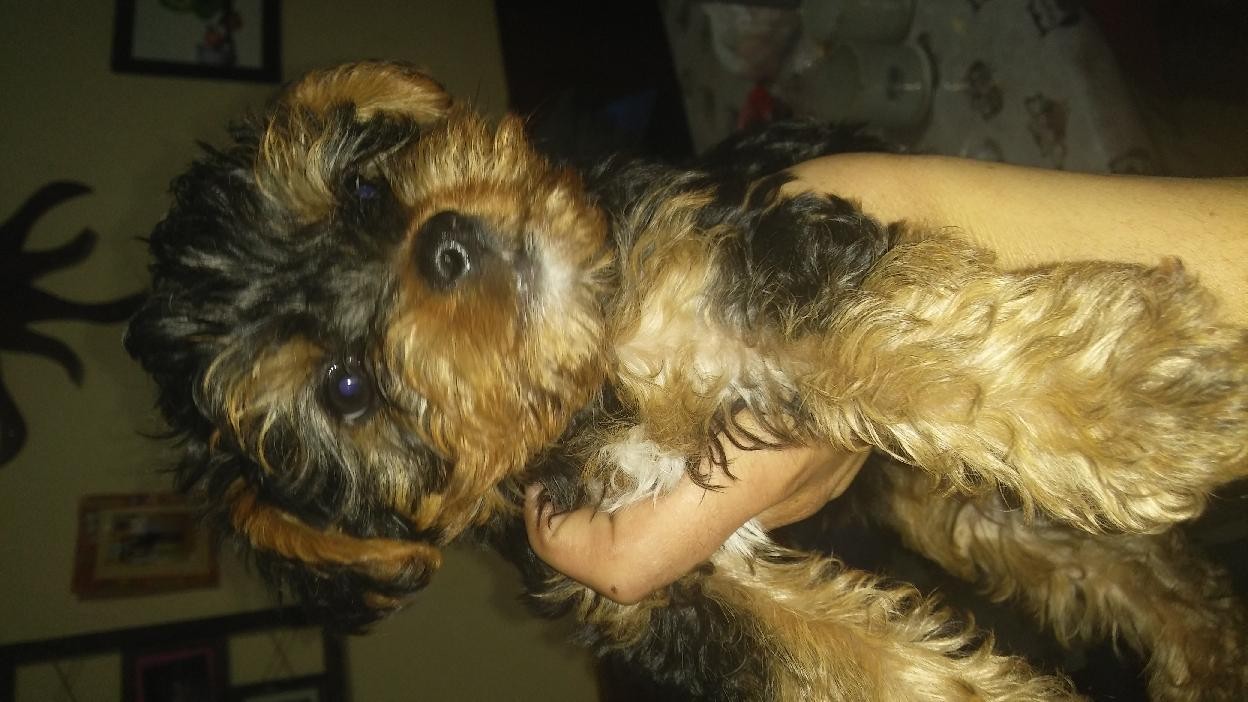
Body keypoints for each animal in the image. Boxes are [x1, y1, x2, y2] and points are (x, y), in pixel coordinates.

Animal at [125, 61, 1248, 700]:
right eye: (347, 389)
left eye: (361, 188)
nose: (445, 246)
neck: (588, 386)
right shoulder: (662, 588)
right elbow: (845, 658)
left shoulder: (717, 266)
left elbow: (875, 340)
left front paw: (1138, 405)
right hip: (942, 508)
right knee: (1110, 573)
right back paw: (1207, 660)